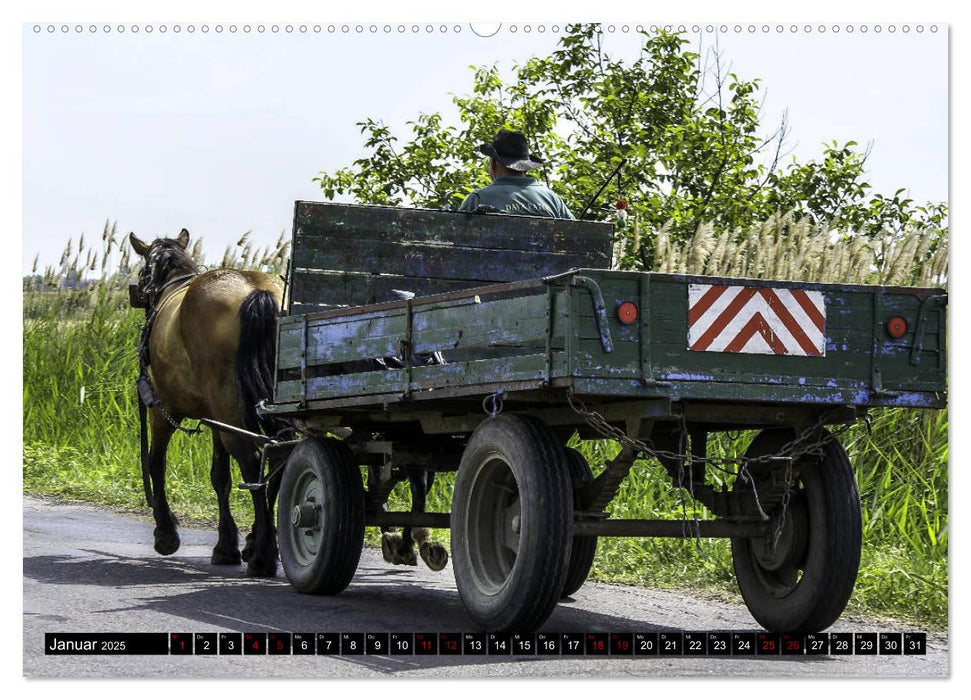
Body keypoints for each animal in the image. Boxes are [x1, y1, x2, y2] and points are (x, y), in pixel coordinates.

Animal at [129, 230, 282, 580]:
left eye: (143, 272)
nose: (139, 294)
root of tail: (256, 292)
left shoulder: (161, 410)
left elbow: (155, 463)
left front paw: (166, 533)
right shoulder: (215, 419)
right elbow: (219, 476)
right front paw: (228, 545)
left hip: (226, 410)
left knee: (253, 459)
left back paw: (264, 556)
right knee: (280, 457)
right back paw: (260, 542)